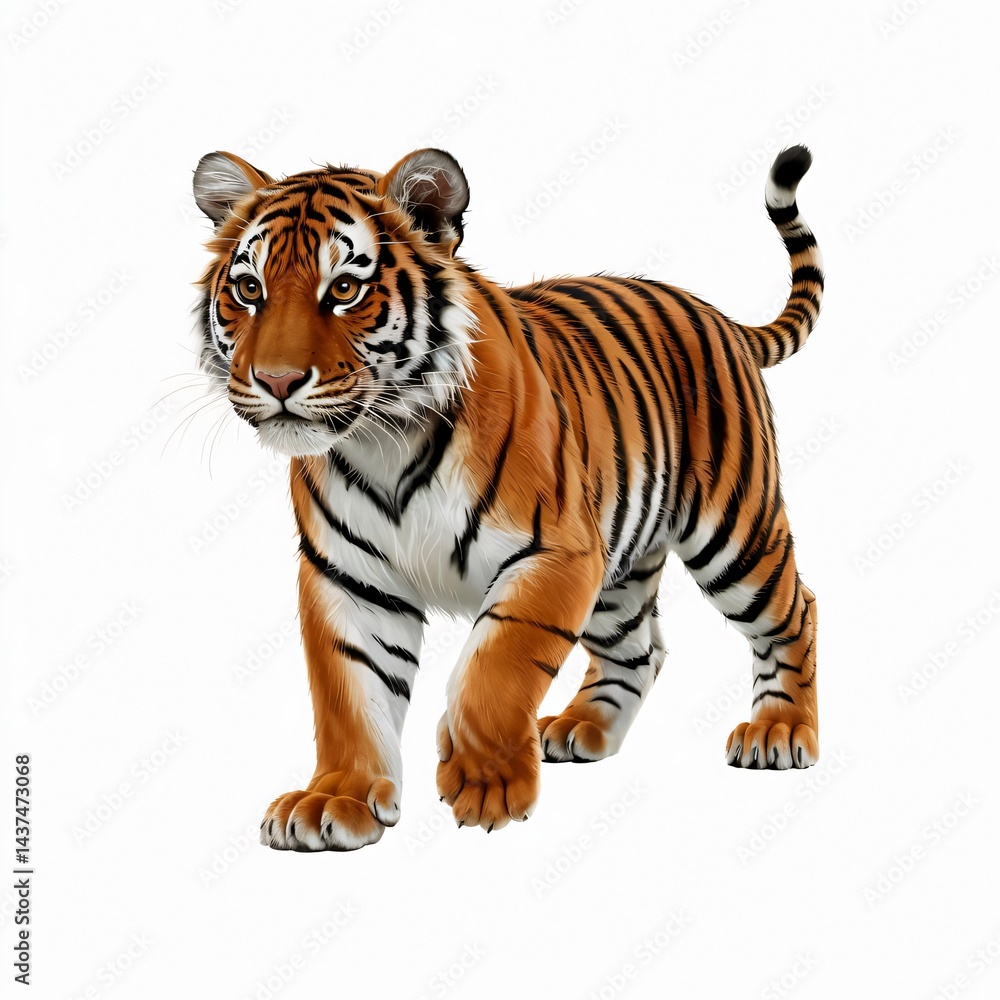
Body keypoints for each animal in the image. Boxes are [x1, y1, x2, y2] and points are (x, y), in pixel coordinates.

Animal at [191, 142, 824, 851]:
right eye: (250, 290)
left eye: (345, 290)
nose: (275, 381)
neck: (385, 440)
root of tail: (719, 316)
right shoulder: (347, 578)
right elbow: (348, 696)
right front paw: (337, 799)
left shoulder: (555, 555)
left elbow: (495, 666)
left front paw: (486, 784)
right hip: (619, 566)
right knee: (640, 648)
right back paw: (582, 728)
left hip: (733, 533)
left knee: (794, 610)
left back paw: (779, 732)